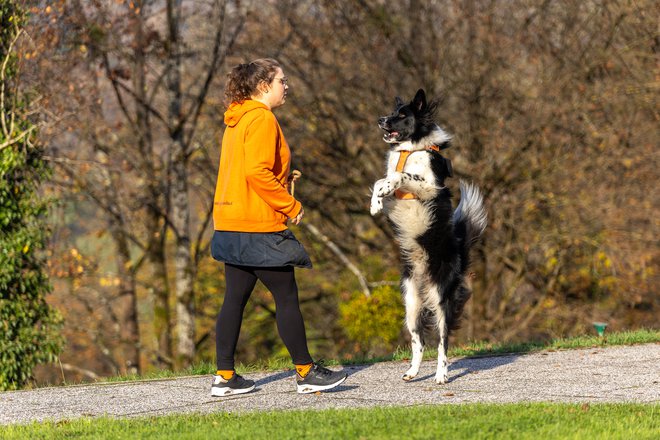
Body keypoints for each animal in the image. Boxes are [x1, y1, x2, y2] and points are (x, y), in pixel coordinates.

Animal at [368, 88, 488, 382]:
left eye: (402, 115)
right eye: (392, 111)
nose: (380, 119)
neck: (412, 147)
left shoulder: (431, 186)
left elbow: (400, 175)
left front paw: (384, 191)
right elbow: (381, 180)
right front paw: (375, 203)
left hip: (442, 302)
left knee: (443, 343)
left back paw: (441, 375)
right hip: (410, 304)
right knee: (418, 341)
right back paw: (412, 372)